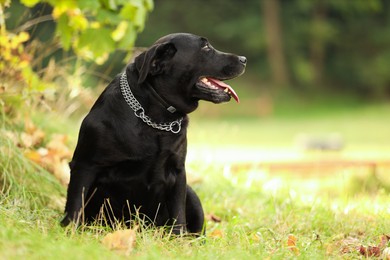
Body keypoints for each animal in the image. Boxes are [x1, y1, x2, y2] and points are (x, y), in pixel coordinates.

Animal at [61, 31, 247, 235]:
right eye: (205, 47)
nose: (244, 59)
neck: (155, 117)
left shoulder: (178, 173)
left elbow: (178, 213)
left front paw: (179, 238)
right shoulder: (85, 165)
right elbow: (76, 202)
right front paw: (69, 230)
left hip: (192, 194)